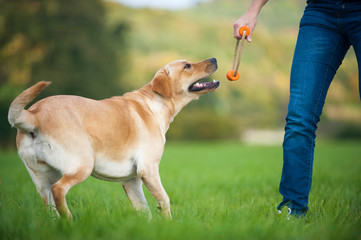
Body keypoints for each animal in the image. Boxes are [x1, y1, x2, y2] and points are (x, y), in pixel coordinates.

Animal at [7, 57, 217, 219]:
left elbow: (144, 210)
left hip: (42, 178)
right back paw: (70, 220)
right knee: (59, 190)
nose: (214, 59)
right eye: (187, 66)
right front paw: (167, 223)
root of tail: (34, 114)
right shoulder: (148, 169)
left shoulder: (131, 180)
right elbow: (164, 199)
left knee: (49, 204)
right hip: (82, 165)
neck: (156, 103)